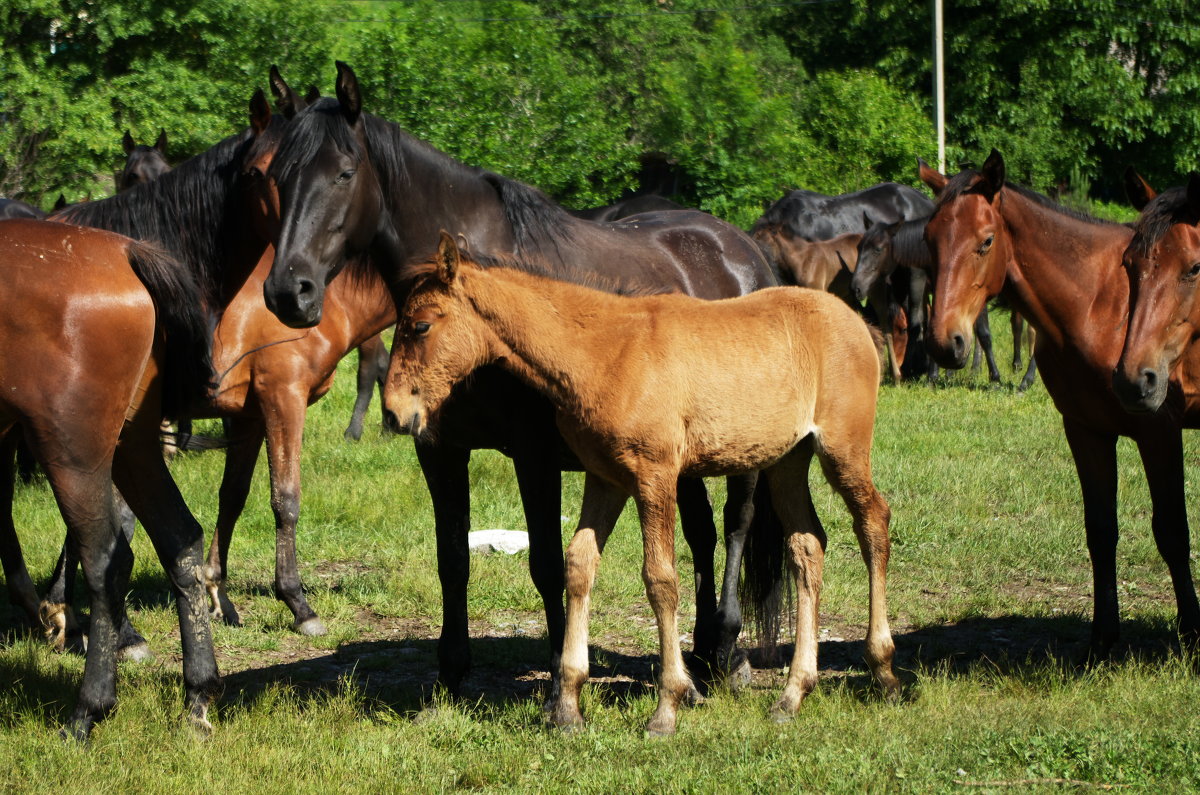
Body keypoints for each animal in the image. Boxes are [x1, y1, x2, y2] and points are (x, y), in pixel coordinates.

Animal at [0, 219, 219, 739]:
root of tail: (125, 252)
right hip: (132, 445)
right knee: (180, 538)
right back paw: (197, 698)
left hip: (74, 450)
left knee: (107, 561)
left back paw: (88, 710)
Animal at [262, 62, 787, 701]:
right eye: (277, 177)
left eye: (344, 172)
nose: (289, 292)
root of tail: (743, 252)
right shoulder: (439, 448)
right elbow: (452, 557)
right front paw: (451, 674)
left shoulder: (534, 454)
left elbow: (548, 562)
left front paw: (562, 673)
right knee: (702, 535)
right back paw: (705, 652)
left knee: (735, 528)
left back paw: (730, 653)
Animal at [384, 234, 902, 739]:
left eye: (421, 326)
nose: (392, 412)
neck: (606, 352)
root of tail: (858, 323)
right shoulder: (606, 479)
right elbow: (579, 565)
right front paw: (568, 707)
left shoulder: (655, 476)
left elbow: (661, 579)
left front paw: (667, 708)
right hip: (787, 462)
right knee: (807, 545)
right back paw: (793, 695)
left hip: (842, 450)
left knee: (873, 523)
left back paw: (883, 671)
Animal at [916, 151, 1200, 658]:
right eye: (929, 239)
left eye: (986, 241)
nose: (945, 345)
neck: (1097, 305)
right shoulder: (1085, 430)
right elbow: (1101, 531)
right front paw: (1103, 640)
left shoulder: (1158, 432)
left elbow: (1172, 532)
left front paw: (1191, 635)